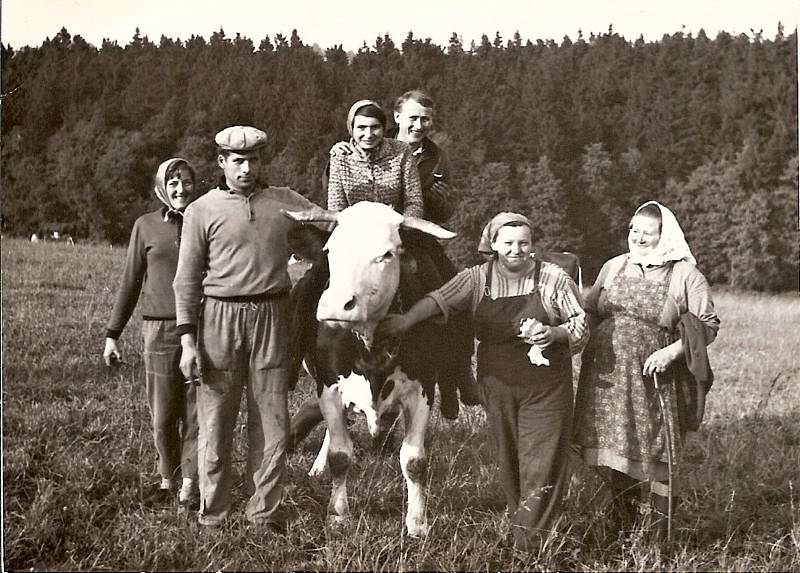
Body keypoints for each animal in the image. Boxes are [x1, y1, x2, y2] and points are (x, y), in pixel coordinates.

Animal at [282, 201, 456, 536]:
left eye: (387, 254)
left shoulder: (423, 389)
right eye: (330, 250)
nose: (337, 305)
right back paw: (318, 467)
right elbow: (340, 455)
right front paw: (338, 514)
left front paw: (417, 523)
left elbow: (414, 461)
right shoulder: (329, 387)